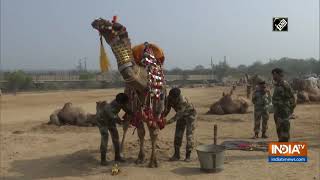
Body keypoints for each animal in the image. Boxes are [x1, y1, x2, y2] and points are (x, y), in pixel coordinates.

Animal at [92, 17, 168, 167]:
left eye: (116, 26)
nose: (96, 20)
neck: (144, 83)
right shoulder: (135, 109)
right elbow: (141, 132)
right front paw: (140, 158)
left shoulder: (157, 110)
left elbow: (153, 132)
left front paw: (153, 161)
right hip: (130, 110)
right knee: (126, 126)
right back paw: (120, 152)